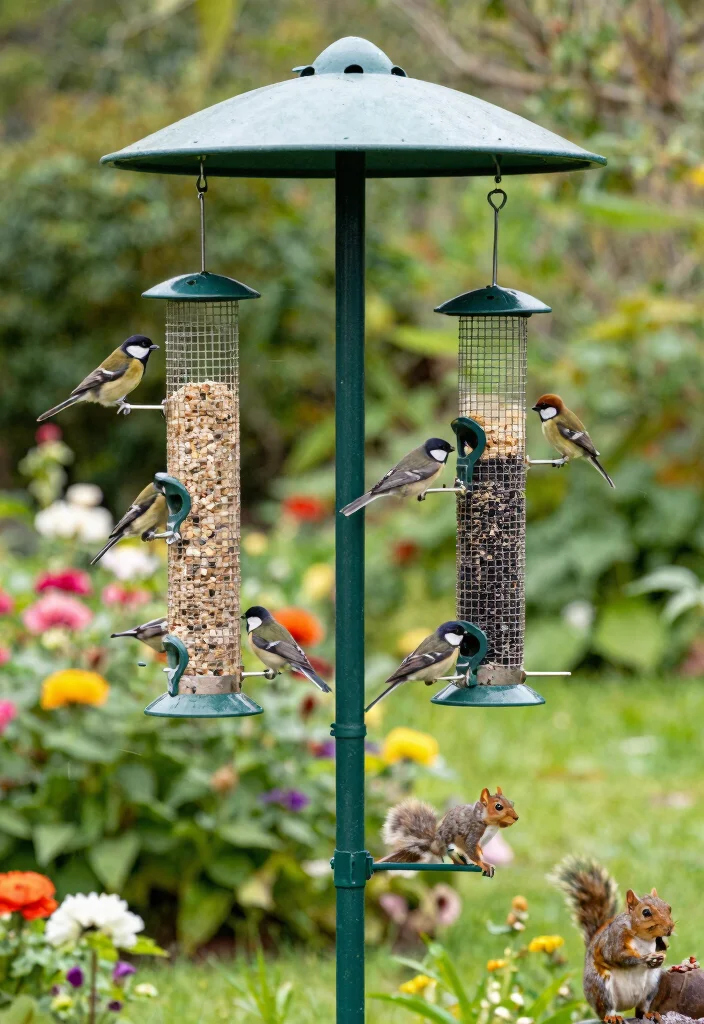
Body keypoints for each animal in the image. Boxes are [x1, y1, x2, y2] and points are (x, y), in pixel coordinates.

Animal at [378, 787, 518, 877]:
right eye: (498, 806)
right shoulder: (473, 833)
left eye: (512, 803)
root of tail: (434, 845)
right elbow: (472, 851)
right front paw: (484, 864)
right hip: (450, 846)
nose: (516, 817)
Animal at [550, 856, 674, 1024]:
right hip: (601, 986)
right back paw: (612, 1016)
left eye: (669, 908)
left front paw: (661, 955)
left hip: (651, 985)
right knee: (607, 1008)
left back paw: (650, 1013)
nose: (670, 928)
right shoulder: (615, 939)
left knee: (642, 1008)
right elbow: (617, 956)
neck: (644, 938)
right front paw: (645, 959)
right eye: (646, 912)